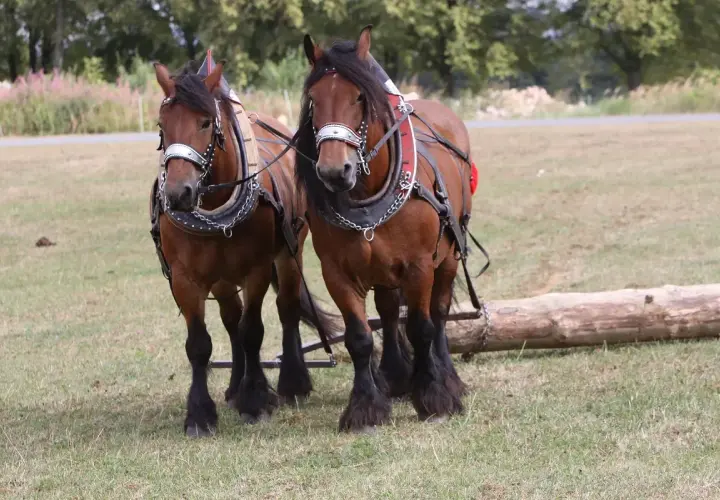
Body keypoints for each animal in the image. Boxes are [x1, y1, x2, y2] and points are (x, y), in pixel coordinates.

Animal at [150, 57, 338, 437]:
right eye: (163, 124)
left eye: (206, 122)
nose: (178, 194)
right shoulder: (185, 279)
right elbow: (200, 344)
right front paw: (200, 414)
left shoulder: (256, 270)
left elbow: (253, 332)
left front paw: (256, 401)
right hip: (222, 278)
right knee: (230, 319)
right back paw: (236, 385)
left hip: (289, 254)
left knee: (286, 309)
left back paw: (291, 383)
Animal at [295, 26, 483, 432]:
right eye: (314, 100)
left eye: (359, 97)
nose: (334, 171)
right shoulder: (337, 273)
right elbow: (360, 337)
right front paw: (365, 407)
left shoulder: (419, 266)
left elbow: (421, 327)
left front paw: (435, 398)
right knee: (386, 310)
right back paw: (396, 376)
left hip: (448, 256)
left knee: (438, 314)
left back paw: (446, 377)